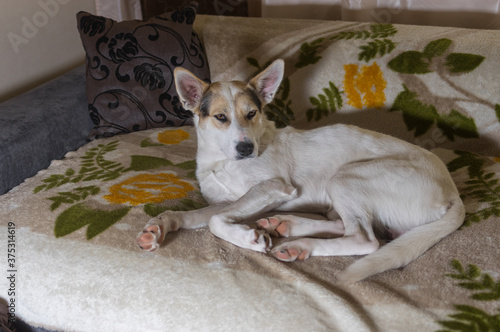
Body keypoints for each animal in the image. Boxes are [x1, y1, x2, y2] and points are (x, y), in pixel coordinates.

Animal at [137, 58, 464, 282]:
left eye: (251, 113)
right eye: (220, 117)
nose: (246, 149)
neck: (222, 161)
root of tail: (453, 194)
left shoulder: (274, 186)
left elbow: (216, 221)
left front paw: (248, 238)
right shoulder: (232, 202)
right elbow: (190, 215)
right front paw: (158, 228)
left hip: (345, 178)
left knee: (366, 240)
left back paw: (300, 242)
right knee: (347, 226)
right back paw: (287, 226)